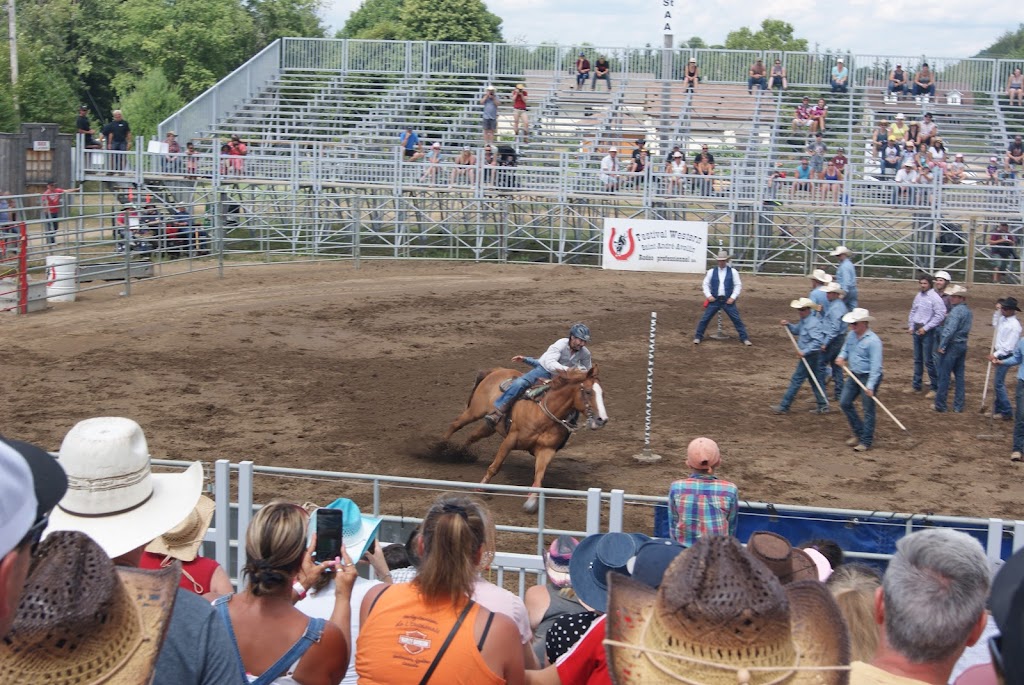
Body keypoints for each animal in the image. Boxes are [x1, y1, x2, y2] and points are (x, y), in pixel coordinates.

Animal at [442, 366, 606, 509]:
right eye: (588, 392)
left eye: (602, 393)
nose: (602, 419)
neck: (544, 415)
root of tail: (497, 370)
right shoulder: (510, 440)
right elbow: (494, 467)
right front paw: (480, 488)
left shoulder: (547, 450)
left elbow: (539, 478)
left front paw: (532, 501)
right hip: (475, 411)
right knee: (455, 425)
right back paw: (441, 446)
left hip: (490, 426)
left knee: (473, 436)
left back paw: (460, 453)